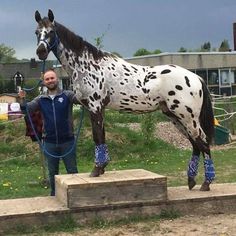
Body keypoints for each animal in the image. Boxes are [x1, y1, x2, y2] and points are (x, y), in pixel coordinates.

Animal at [33, 9, 216, 192]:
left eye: (51, 32)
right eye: (37, 32)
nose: (41, 51)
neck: (87, 65)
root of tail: (196, 77)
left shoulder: (95, 107)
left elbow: (97, 137)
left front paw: (96, 169)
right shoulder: (100, 109)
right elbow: (102, 137)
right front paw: (102, 167)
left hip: (187, 117)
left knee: (203, 143)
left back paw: (206, 183)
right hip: (175, 117)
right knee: (195, 144)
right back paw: (191, 180)